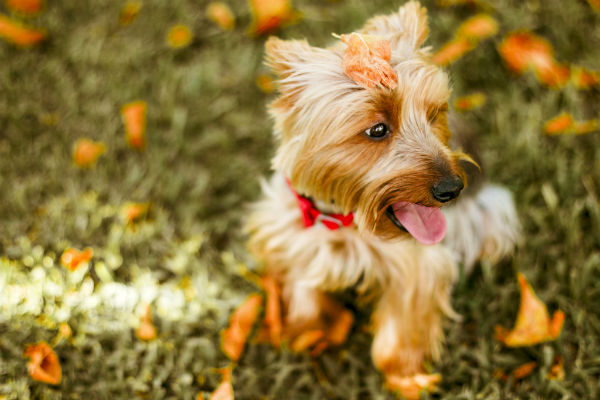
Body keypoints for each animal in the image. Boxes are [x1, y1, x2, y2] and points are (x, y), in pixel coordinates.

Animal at [246, 0, 516, 394]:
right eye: (377, 129)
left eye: (434, 114)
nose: (452, 188)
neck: (343, 219)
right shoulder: (293, 230)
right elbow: (304, 291)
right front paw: (306, 333)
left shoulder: (417, 266)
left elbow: (403, 326)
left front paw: (406, 377)